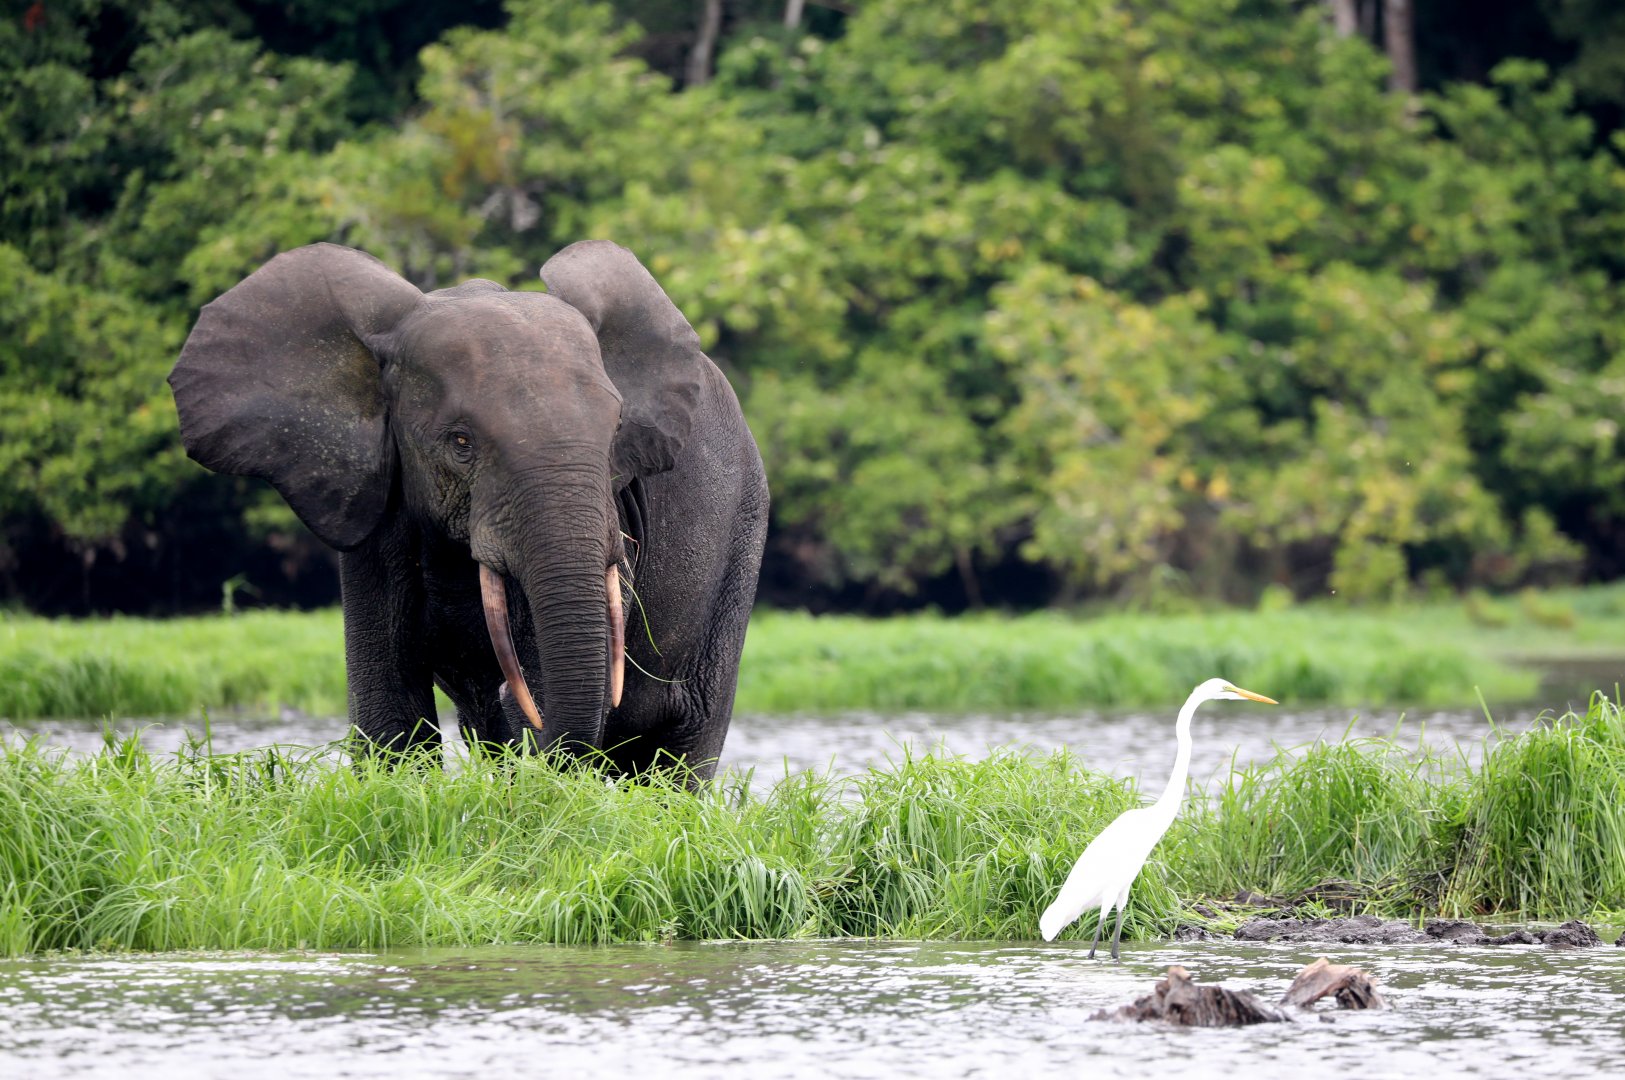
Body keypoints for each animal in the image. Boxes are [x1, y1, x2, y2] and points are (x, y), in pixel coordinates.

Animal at [168, 240, 769, 782]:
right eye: (460, 442)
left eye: (616, 431)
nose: (501, 691)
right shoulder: (379, 505)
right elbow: (389, 714)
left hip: (740, 542)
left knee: (681, 752)